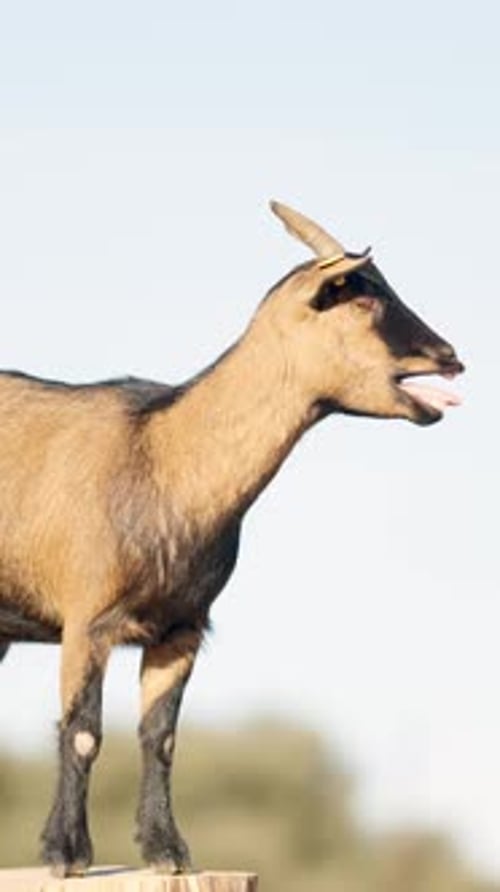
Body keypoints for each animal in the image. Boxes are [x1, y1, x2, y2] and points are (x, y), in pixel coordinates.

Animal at [0, 202, 463, 877]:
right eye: (363, 298)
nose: (450, 356)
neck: (165, 455)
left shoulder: (180, 626)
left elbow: (160, 737)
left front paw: (169, 853)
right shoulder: (87, 617)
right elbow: (82, 730)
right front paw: (67, 854)